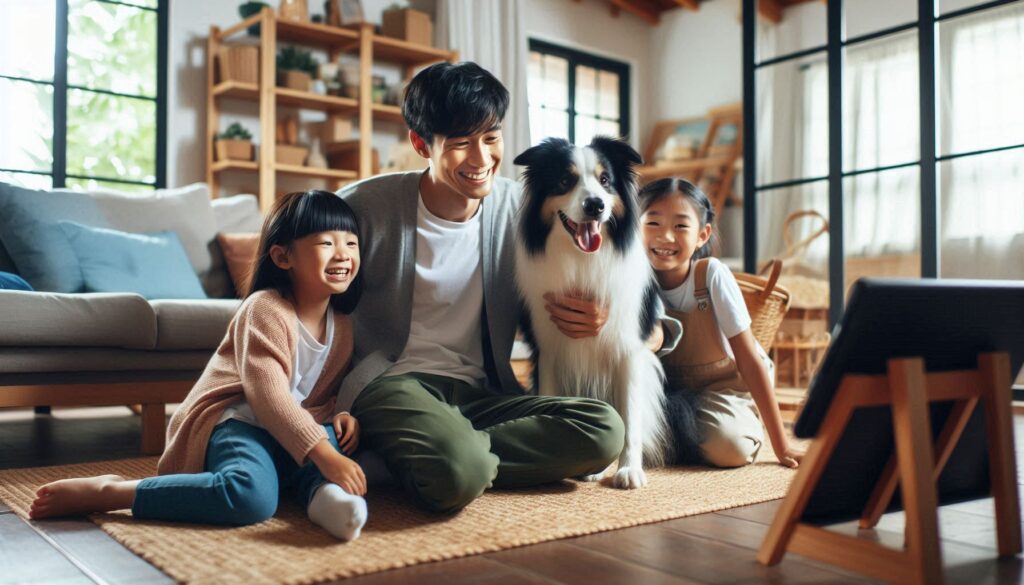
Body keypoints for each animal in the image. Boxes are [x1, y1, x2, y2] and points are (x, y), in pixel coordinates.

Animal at [516, 137, 667, 489]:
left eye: (605, 180)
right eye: (564, 181)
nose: (596, 205)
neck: (583, 260)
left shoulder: (629, 350)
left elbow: (630, 417)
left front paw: (629, 470)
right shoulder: (548, 350)